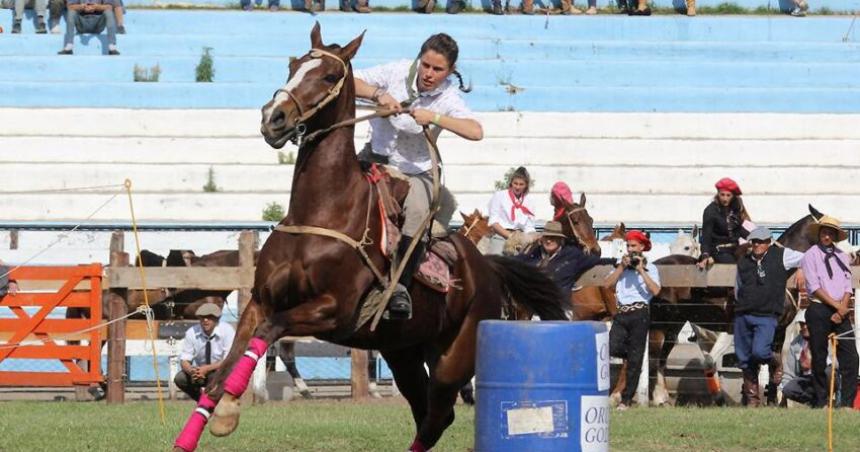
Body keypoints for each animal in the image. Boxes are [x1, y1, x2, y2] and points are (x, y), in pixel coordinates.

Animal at [172, 23, 568, 452]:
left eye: (329, 76)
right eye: (293, 65)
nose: (273, 118)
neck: (324, 211)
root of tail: (486, 268)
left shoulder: (333, 310)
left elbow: (269, 332)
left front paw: (228, 411)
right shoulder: (260, 301)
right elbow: (222, 371)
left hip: (453, 357)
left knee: (437, 416)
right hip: (404, 352)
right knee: (427, 414)